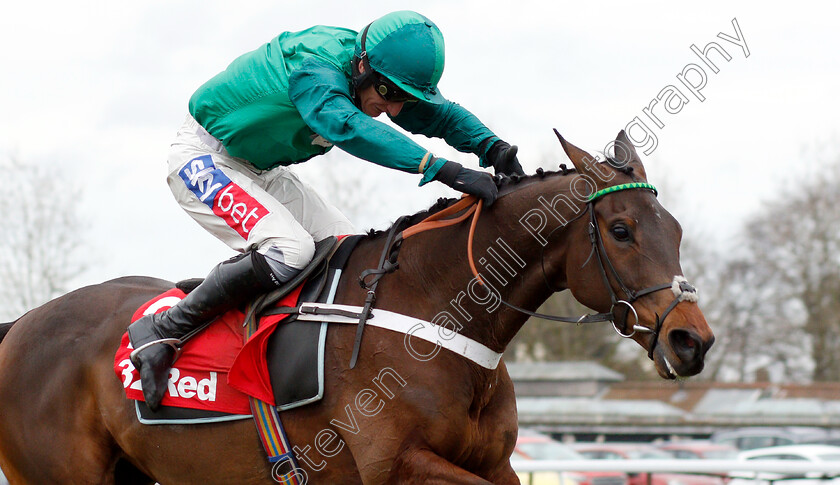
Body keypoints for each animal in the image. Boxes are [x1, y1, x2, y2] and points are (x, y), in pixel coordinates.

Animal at [0, 130, 716, 482]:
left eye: (677, 229)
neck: (434, 316)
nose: (692, 340)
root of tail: (19, 326)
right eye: (621, 230)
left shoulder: (496, 463)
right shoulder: (396, 466)